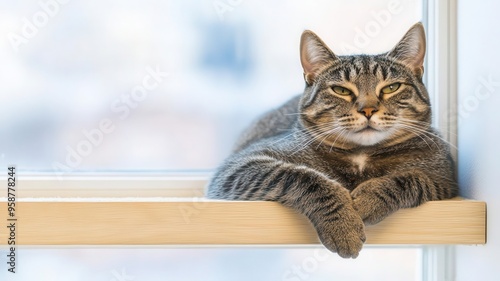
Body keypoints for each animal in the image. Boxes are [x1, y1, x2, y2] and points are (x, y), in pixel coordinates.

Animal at [206, 23, 458, 258]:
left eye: (391, 87)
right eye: (341, 90)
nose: (368, 109)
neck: (361, 156)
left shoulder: (444, 177)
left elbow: (411, 178)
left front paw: (369, 198)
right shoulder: (242, 165)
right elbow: (301, 177)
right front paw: (343, 225)